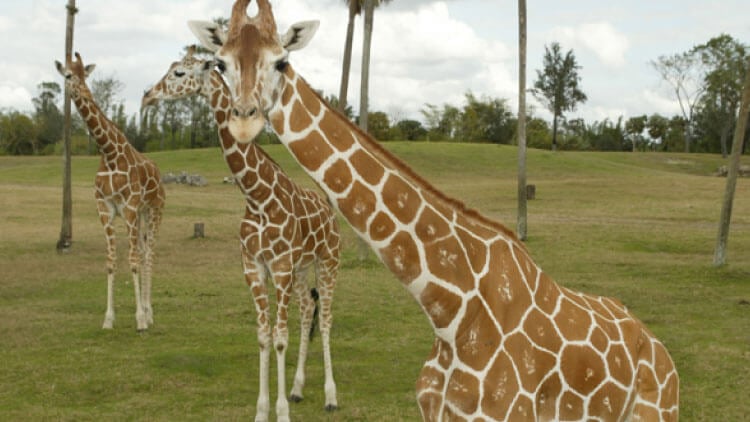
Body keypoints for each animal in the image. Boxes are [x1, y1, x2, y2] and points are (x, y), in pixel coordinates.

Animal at [55, 53, 165, 332]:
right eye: (68, 75)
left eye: (85, 75)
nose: (80, 91)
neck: (109, 152)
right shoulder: (105, 209)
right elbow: (111, 262)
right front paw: (108, 319)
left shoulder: (129, 208)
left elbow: (133, 261)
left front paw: (140, 320)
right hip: (141, 215)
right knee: (143, 251)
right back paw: (146, 310)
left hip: (154, 210)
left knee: (149, 254)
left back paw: (149, 313)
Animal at [142, 46, 340, 421]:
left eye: (179, 73)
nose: (147, 95)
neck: (256, 196)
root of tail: (329, 211)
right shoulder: (254, 266)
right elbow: (264, 336)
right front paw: (263, 410)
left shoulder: (279, 267)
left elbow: (280, 337)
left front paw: (281, 412)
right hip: (302, 266)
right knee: (308, 308)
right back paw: (297, 389)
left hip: (329, 261)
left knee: (324, 320)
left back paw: (330, 396)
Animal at [189, 1, 679, 420]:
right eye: (221, 62)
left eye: (281, 62)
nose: (244, 119)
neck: (449, 313)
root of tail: (661, 351)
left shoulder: (508, 414)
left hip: (660, 412)